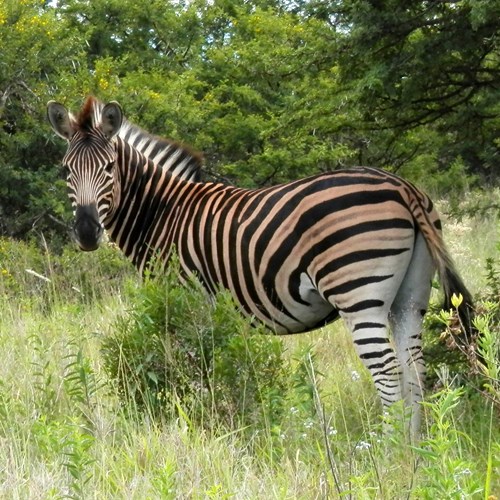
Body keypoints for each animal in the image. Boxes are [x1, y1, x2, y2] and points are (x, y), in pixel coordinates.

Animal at [48, 95, 474, 436]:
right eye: (66, 171)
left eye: (108, 169)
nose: (86, 233)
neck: (163, 212)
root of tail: (403, 186)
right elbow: (223, 370)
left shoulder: (188, 300)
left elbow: (195, 375)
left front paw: (204, 427)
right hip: (409, 299)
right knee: (415, 371)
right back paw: (416, 453)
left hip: (358, 294)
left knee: (388, 374)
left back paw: (389, 454)